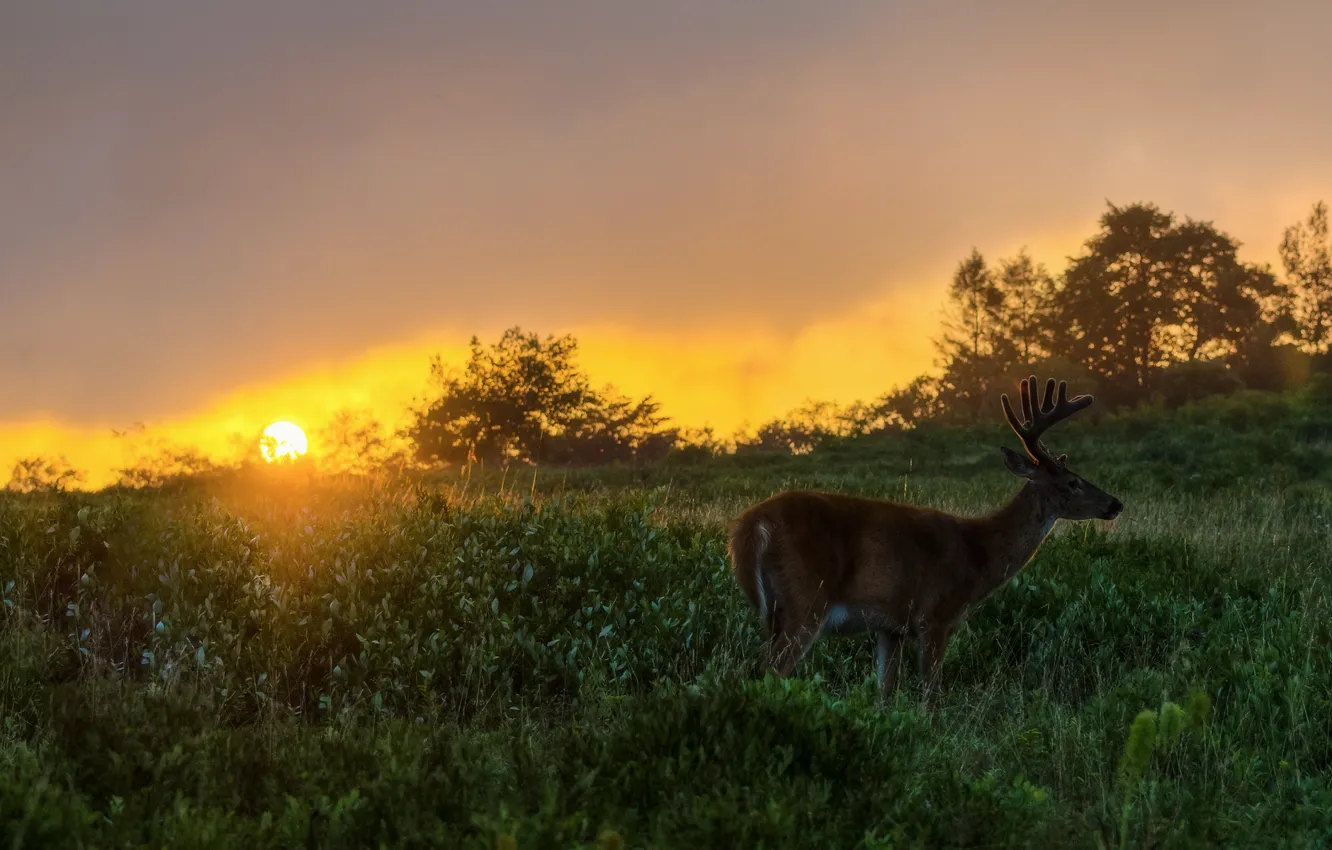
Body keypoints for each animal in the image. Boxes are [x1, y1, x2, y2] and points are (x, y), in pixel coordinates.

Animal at [727, 375, 1123, 709]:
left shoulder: (892, 625)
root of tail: (752, 522)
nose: (1115, 504)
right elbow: (932, 695)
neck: (979, 554)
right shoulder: (936, 615)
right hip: (806, 598)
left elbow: (885, 692)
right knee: (768, 672)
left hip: (776, 609)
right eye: (1073, 482)